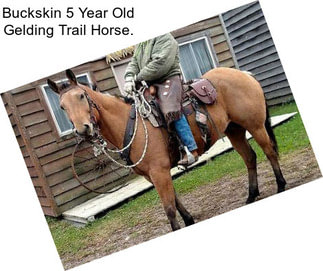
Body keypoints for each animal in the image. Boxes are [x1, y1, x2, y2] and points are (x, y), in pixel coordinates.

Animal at [46, 68, 288, 232]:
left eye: (81, 96)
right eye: (62, 107)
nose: (83, 129)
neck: (129, 124)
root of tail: (243, 74)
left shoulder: (159, 172)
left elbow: (169, 207)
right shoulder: (153, 175)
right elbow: (175, 200)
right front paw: (189, 220)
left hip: (255, 126)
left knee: (270, 152)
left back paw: (280, 185)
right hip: (234, 130)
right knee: (250, 158)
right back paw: (251, 195)